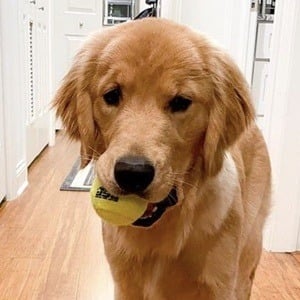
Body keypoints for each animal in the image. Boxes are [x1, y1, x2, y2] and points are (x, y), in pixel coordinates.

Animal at [53, 17, 272, 298]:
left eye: (180, 101)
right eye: (111, 95)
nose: (132, 173)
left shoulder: (219, 285)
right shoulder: (125, 285)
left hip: (248, 255)